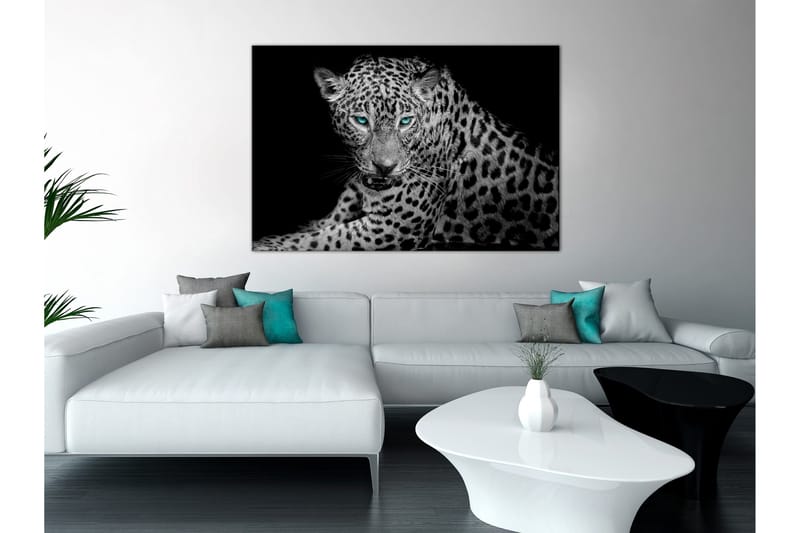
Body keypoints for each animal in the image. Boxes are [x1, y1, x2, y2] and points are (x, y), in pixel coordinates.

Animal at [252, 55, 559, 251]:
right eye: (361, 121)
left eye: (406, 121)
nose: (385, 167)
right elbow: (318, 227)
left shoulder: (396, 225)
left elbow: (320, 239)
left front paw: (268, 244)